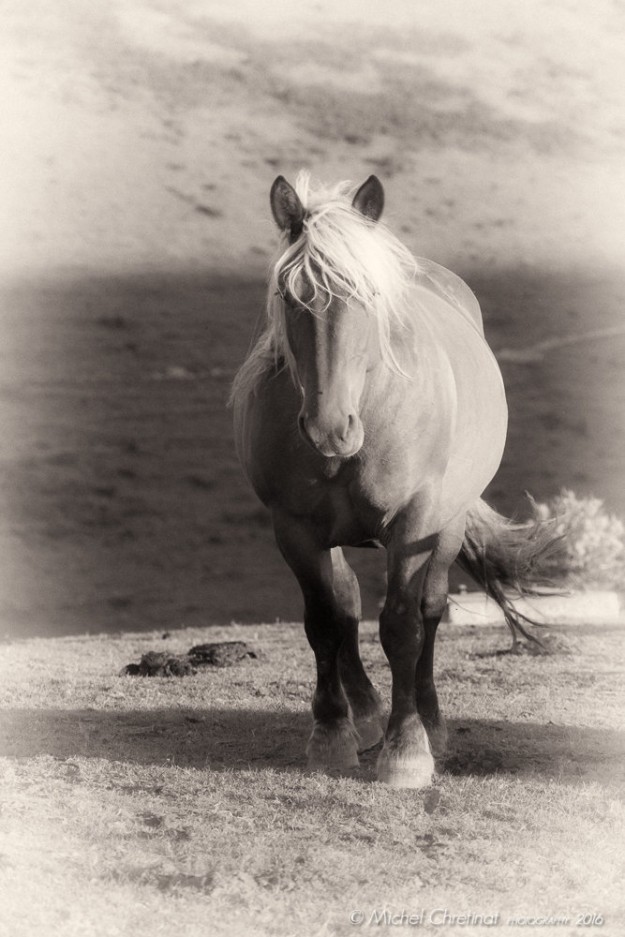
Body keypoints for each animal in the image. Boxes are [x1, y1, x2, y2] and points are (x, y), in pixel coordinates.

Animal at [231, 172, 555, 789]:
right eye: (288, 295)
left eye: (370, 297)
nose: (329, 429)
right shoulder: (295, 529)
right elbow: (324, 621)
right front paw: (332, 735)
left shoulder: (413, 526)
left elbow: (402, 626)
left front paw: (407, 750)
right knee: (346, 602)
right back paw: (365, 715)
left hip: (447, 526)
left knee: (429, 608)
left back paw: (430, 722)